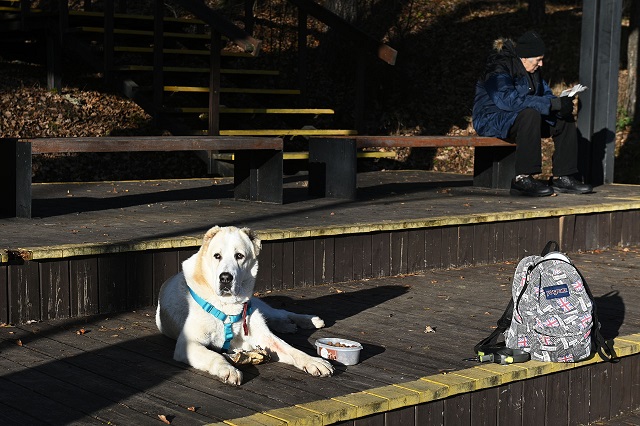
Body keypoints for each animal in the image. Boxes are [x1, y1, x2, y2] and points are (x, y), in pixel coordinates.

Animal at [156, 226, 336, 386]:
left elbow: (291, 349)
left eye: (239, 256)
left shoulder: (264, 337)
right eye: (217, 256)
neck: (227, 305)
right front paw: (228, 369)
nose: (225, 278)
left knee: (280, 312)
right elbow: (214, 355)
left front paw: (313, 361)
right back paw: (287, 326)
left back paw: (309, 320)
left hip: (258, 306)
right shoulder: (188, 344)